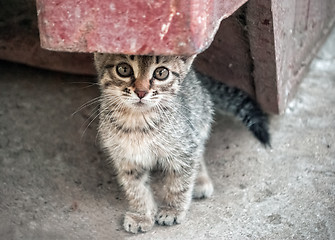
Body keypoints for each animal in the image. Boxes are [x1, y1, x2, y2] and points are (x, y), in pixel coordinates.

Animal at [94, 53, 270, 233]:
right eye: (123, 69)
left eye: (161, 73)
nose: (141, 92)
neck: (137, 122)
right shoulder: (127, 160)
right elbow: (136, 189)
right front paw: (141, 215)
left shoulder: (183, 149)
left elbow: (179, 183)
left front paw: (172, 210)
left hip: (199, 121)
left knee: (198, 152)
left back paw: (200, 180)